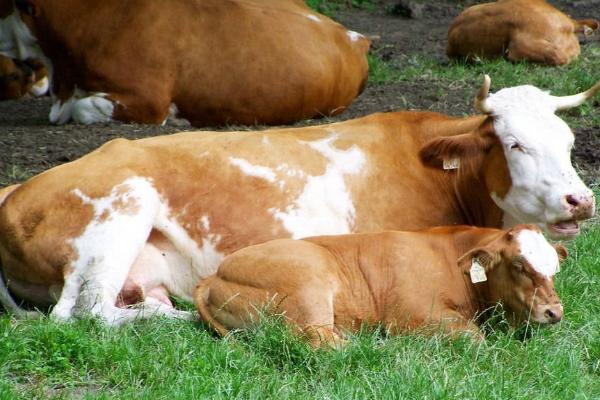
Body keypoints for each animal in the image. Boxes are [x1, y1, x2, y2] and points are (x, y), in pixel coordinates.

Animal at [0, 76, 596, 324]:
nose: (580, 201)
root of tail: (15, 190)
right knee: (84, 313)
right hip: (121, 209)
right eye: (515, 144)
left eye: (569, 142)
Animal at [196, 223, 568, 346]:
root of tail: (213, 275)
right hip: (310, 284)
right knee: (326, 345)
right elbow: (474, 338)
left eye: (555, 268)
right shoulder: (413, 315)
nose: (554, 312)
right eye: (519, 265)